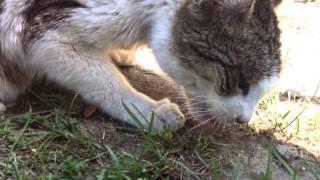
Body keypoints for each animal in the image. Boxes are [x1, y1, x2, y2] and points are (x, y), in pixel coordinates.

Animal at [0, 0, 280, 132]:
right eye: (240, 81)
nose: (243, 120)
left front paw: (120, 53)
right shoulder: (50, 35)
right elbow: (106, 82)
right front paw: (150, 112)